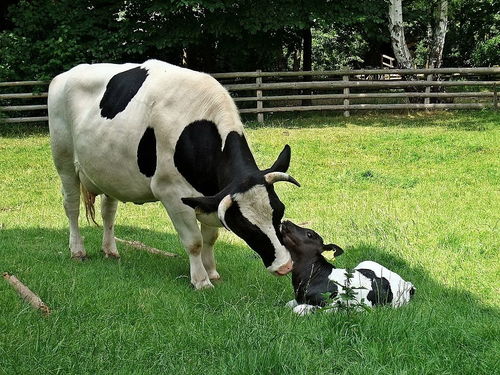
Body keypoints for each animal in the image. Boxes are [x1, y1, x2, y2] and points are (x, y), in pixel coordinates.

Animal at [48, 58, 298, 290]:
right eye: (244, 225)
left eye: (279, 211)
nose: (285, 266)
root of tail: (66, 74)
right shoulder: (171, 193)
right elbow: (194, 241)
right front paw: (201, 281)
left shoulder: (211, 195)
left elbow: (210, 238)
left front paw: (212, 271)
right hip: (64, 160)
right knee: (71, 206)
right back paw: (78, 250)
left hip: (108, 171)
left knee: (108, 212)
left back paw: (110, 250)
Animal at [280, 222, 416, 316]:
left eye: (309, 234)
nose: (286, 221)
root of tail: (407, 284)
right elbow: (288, 304)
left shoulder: (332, 306)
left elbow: (298, 309)